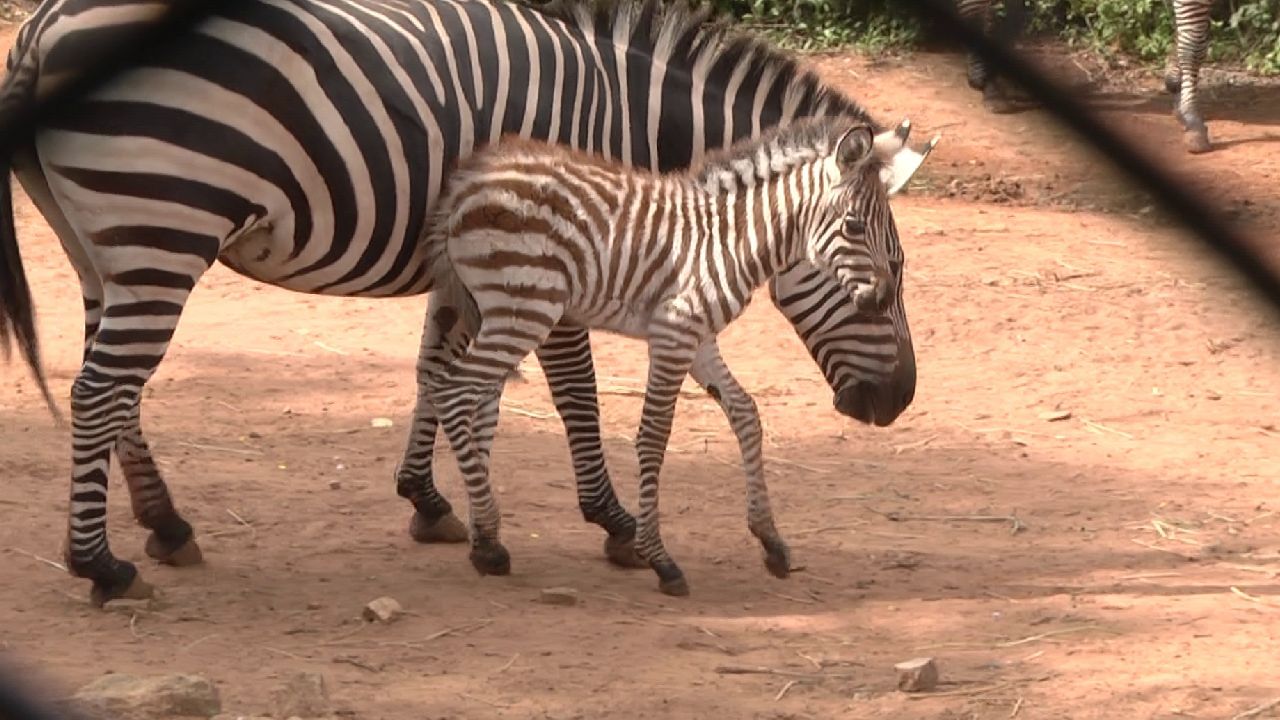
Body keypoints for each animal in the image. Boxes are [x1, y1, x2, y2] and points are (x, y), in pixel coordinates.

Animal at [424, 116, 916, 594]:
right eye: (853, 227)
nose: (877, 299)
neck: (732, 241)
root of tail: (467, 185)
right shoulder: (674, 332)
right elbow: (654, 434)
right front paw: (659, 558)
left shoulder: (700, 339)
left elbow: (746, 414)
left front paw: (770, 540)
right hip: (526, 309)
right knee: (452, 392)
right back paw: (487, 541)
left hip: (500, 313)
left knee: (474, 400)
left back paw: (487, 536)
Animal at [962, 0, 1218, 151]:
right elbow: (1193, 42)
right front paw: (1191, 117)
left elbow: (1194, 39)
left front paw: (1177, 93)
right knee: (974, 8)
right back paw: (988, 85)